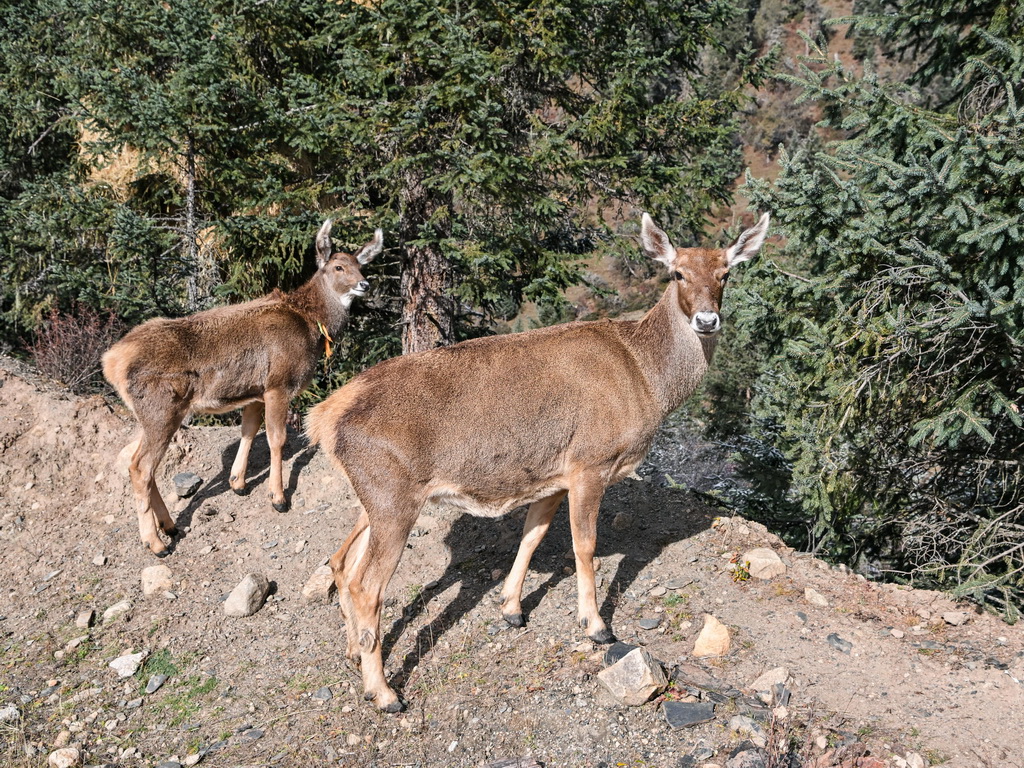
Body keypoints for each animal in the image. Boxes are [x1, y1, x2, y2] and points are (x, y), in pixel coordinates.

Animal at [104, 219, 385, 557]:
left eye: (361, 265)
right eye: (339, 267)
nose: (365, 285)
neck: (310, 322)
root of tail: (111, 362)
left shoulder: (255, 390)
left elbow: (249, 430)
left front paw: (238, 482)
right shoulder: (278, 383)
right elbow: (277, 439)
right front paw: (278, 498)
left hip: (149, 414)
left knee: (139, 463)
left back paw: (169, 526)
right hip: (161, 407)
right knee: (140, 467)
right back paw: (156, 542)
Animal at [303, 211, 770, 716]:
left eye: (726, 273)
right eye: (677, 273)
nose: (707, 319)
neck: (646, 378)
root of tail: (322, 418)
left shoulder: (552, 477)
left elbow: (532, 536)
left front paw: (511, 609)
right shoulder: (591, 461)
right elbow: (584, 545)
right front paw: (596, 625)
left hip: (373, 496)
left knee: (342, 563)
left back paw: (355, 655)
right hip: (393, 496)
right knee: (367, 585)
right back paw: (386, 693)